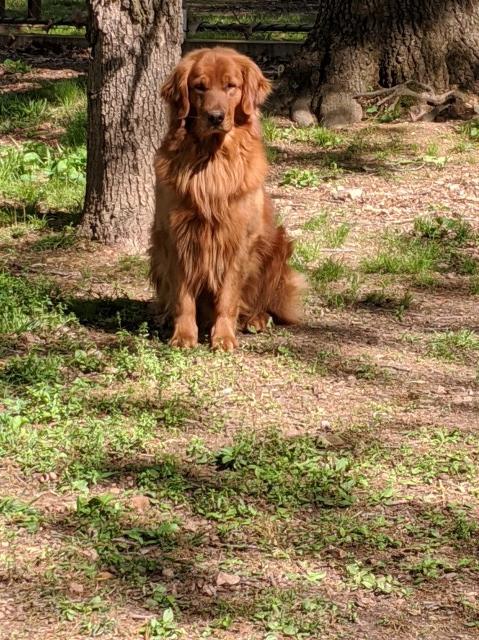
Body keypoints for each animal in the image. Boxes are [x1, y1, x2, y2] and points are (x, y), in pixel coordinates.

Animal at [150, 48, 306, 352]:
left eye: (231, 86)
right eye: (199, 87)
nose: (215, 116)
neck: (211, 162)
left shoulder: (237, 240)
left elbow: (228, 297)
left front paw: (223, 337)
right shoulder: (176, 236)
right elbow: (183, 298)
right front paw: (183, 335)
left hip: (277, 246)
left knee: (263, 303)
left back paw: (255, 319)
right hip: (156, 249)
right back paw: (163, 316)